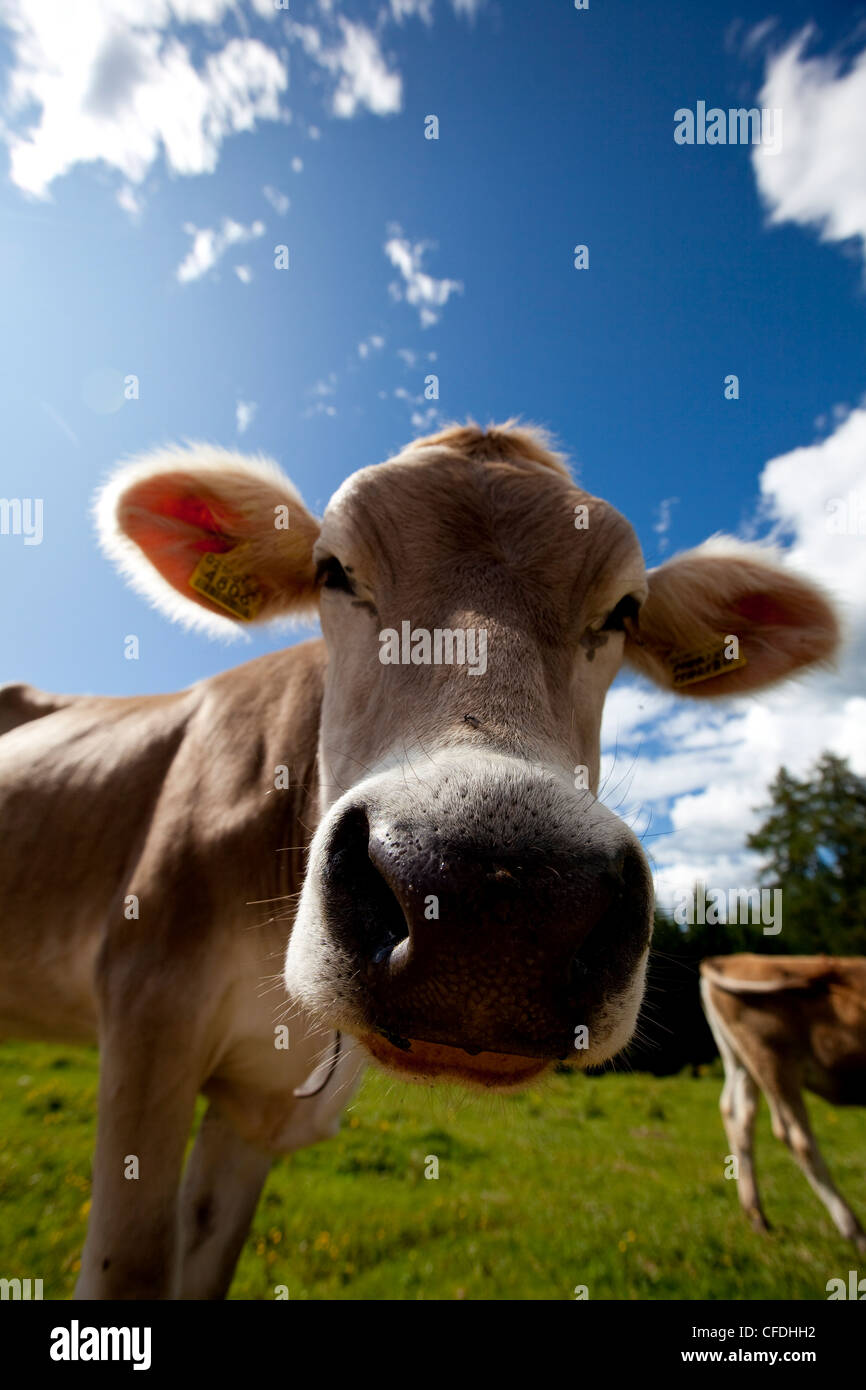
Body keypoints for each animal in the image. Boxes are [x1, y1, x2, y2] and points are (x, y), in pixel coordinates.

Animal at [0, 417, 839, 1295]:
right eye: (332, 570)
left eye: (624, 610)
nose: (492, 913)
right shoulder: (146, 1014)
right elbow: (127, 1265)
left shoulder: (260, 1105)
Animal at [700, 956, 861, 1251]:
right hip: (774, 1059)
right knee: (797, 1138)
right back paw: (854, 1231)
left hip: (741, 1061)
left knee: (737, 1115)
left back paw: (758, 1217)